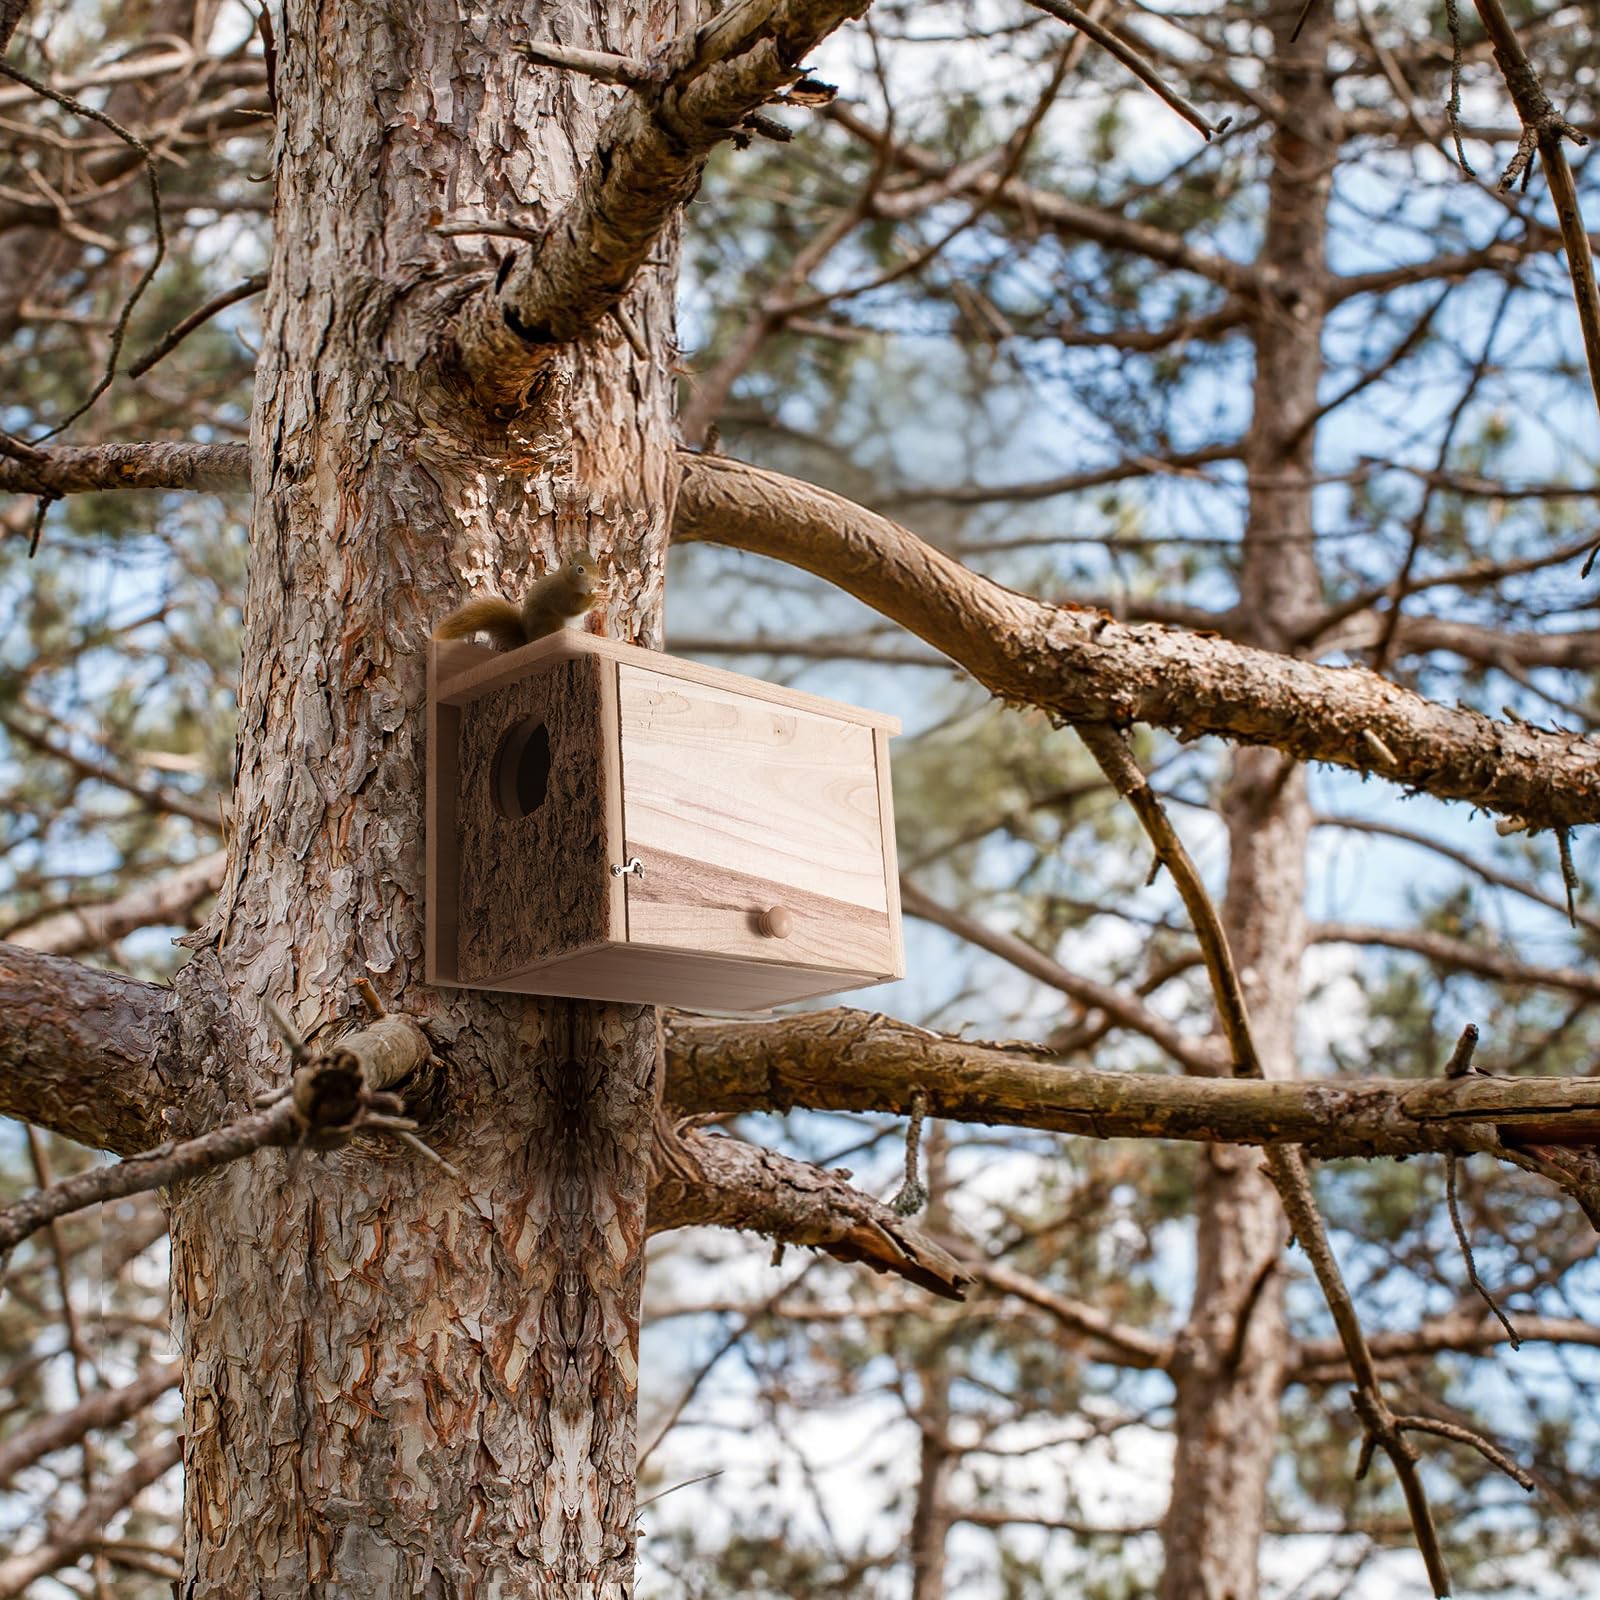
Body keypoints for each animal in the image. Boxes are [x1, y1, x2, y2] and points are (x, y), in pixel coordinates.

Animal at [433, 550, 601, 651]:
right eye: (580, 569)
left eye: (596, 566)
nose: (597, 582)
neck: (568, 581)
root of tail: (529, 640)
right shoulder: (558, 594)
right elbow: (572, 607)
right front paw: (596, 598)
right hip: (550, 623)